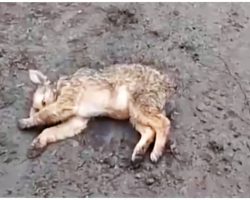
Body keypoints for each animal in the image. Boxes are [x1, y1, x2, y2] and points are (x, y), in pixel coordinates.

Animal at [18, 63, 176, 162]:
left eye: (44, 102)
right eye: (36, 107)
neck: (60, 87)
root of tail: (167, 84)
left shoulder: (66, 101)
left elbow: (45, 115)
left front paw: (26, 122)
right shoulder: (77, 121)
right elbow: (50, 131)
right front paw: (38, 142)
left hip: (141, 105)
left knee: (164, 123)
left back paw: (157, 151)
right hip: (135, 113)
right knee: (149, 130)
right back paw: (139, 152)